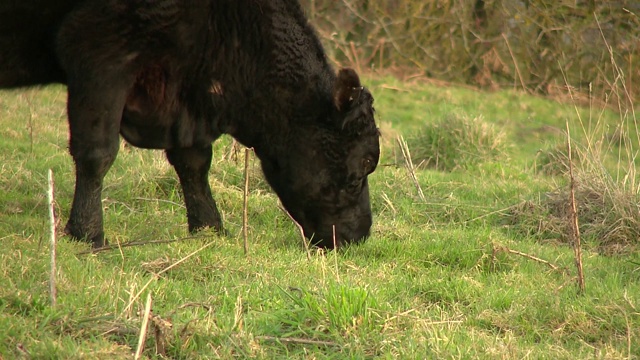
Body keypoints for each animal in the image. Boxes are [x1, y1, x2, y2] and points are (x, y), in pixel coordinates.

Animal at [0, 0, 380, 248]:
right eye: (356, 174)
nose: (359, 235)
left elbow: (194, 163)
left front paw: (209, 227)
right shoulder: (99, 51)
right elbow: (97, 152)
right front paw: (87, 232)